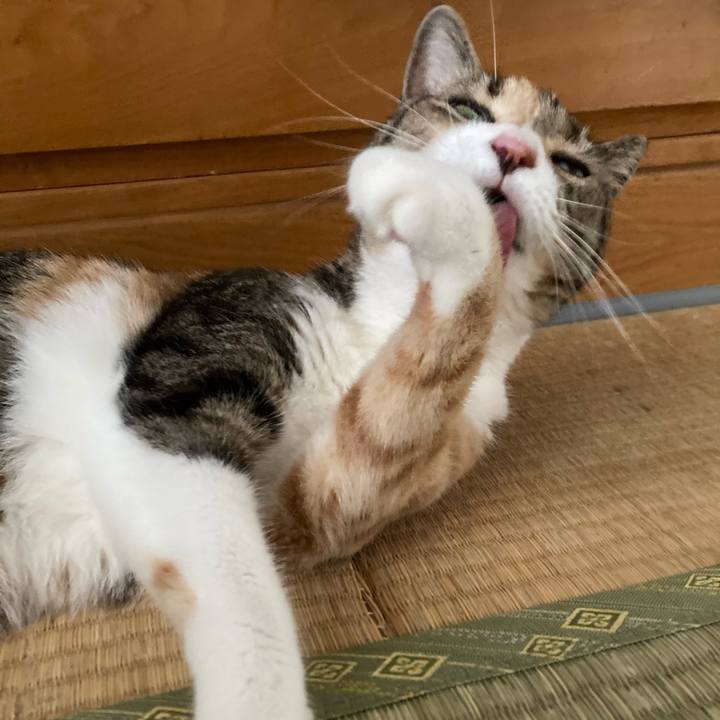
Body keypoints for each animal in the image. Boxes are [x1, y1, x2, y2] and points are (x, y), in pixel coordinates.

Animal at [0, 5, 645, 719]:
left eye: (572, 166)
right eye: (467, 107)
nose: (513, 150)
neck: (379, 324)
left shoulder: (321, 503)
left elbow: (405, 398)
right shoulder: (185, 379)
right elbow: (238, 583)